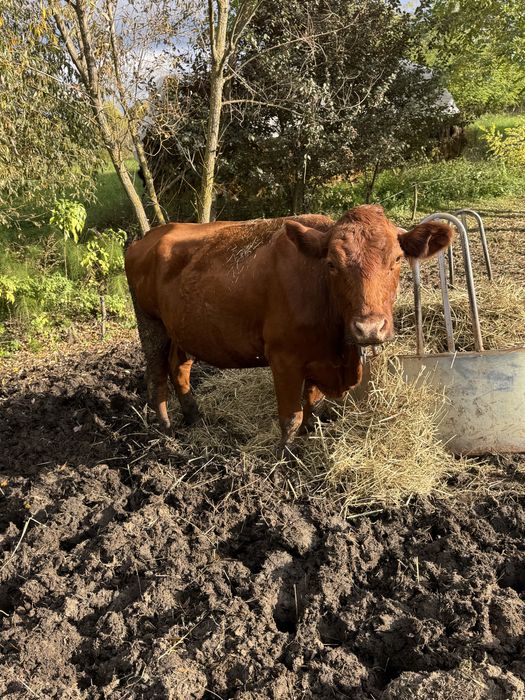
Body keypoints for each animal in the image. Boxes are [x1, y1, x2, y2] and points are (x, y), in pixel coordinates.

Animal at [125, 205, 453, 452]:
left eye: (397, 259)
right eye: (332, 264)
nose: (369, 328)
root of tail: (150, 235)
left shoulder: (316, 358)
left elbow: (310, 404)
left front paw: (308, 434)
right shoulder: (283, 358)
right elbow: (290, 416)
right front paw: (285, 457)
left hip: (183, 329)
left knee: (179, 367)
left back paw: (194, 418)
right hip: (151, 324)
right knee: (156, 376)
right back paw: (167, 430)